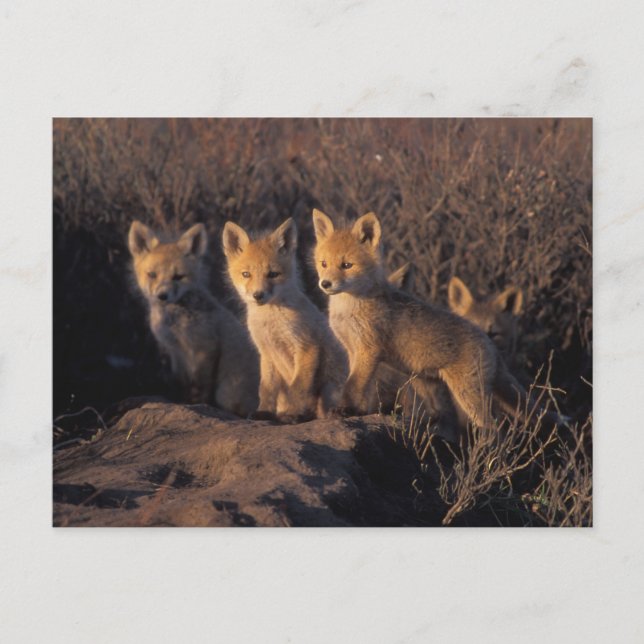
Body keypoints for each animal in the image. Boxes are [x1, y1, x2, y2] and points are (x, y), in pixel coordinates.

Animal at [128, 220, 259, 416]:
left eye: (178, 277)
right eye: (152, 275)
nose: (162, 296)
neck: (175, 326)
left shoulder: (204, 349)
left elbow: (199, 387)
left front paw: (197, 405)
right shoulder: (175, 352)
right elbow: (182, 383)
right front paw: (181, 402)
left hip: (227, 391)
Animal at [223, 217, 348, 423]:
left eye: (273, 274)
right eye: (246, 274)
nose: (258, 295)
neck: (271, 323)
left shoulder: (306, 346)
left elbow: (297, 388)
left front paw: (292, 414)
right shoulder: (267, 352)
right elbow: (266, 389)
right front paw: (264, 412)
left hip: (330, 387)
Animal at [312, 208, 532, 432]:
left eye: (347, 265)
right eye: (323, 263)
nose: (325, 284)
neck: (348, 309)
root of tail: (490, 345)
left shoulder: (368, 349)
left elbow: (352, 386)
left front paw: (343, 410)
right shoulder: (352, 350)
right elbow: (361, 389)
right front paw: (358, 411)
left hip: (467, 394)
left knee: (493, 427)